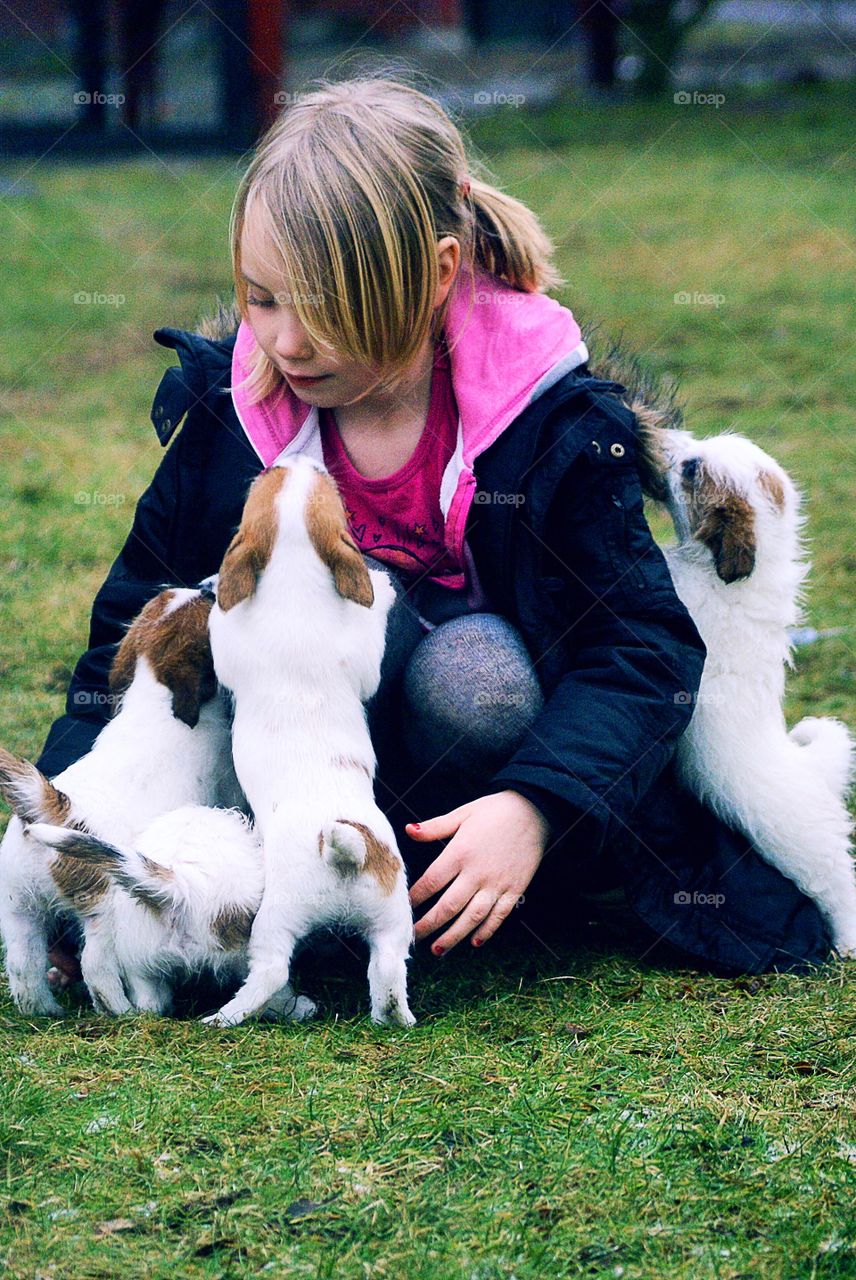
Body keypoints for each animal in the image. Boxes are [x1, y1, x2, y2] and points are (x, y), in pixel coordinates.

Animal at [0, 586, 245, 1013]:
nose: (205, 588)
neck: (155, 695)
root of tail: (54, 808)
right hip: (107, 911)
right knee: (96, 967)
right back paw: (120, 1010)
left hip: (19, 908)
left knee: (23, 968)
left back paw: (45, 1010)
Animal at [25, 808, 316, 1018]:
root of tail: (180, 884)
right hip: (243, 955)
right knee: (268, 987)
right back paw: (299, 1009)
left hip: (141, 964)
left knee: (149, 1005)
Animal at [200, 460, 414, 1029]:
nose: (300, 460)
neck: (294, 574)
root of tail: (345, 849)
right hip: (393, 918)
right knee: (388, 971)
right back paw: (396, 1018)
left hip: (275, 923)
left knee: (270, 972)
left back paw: (224, 1016)